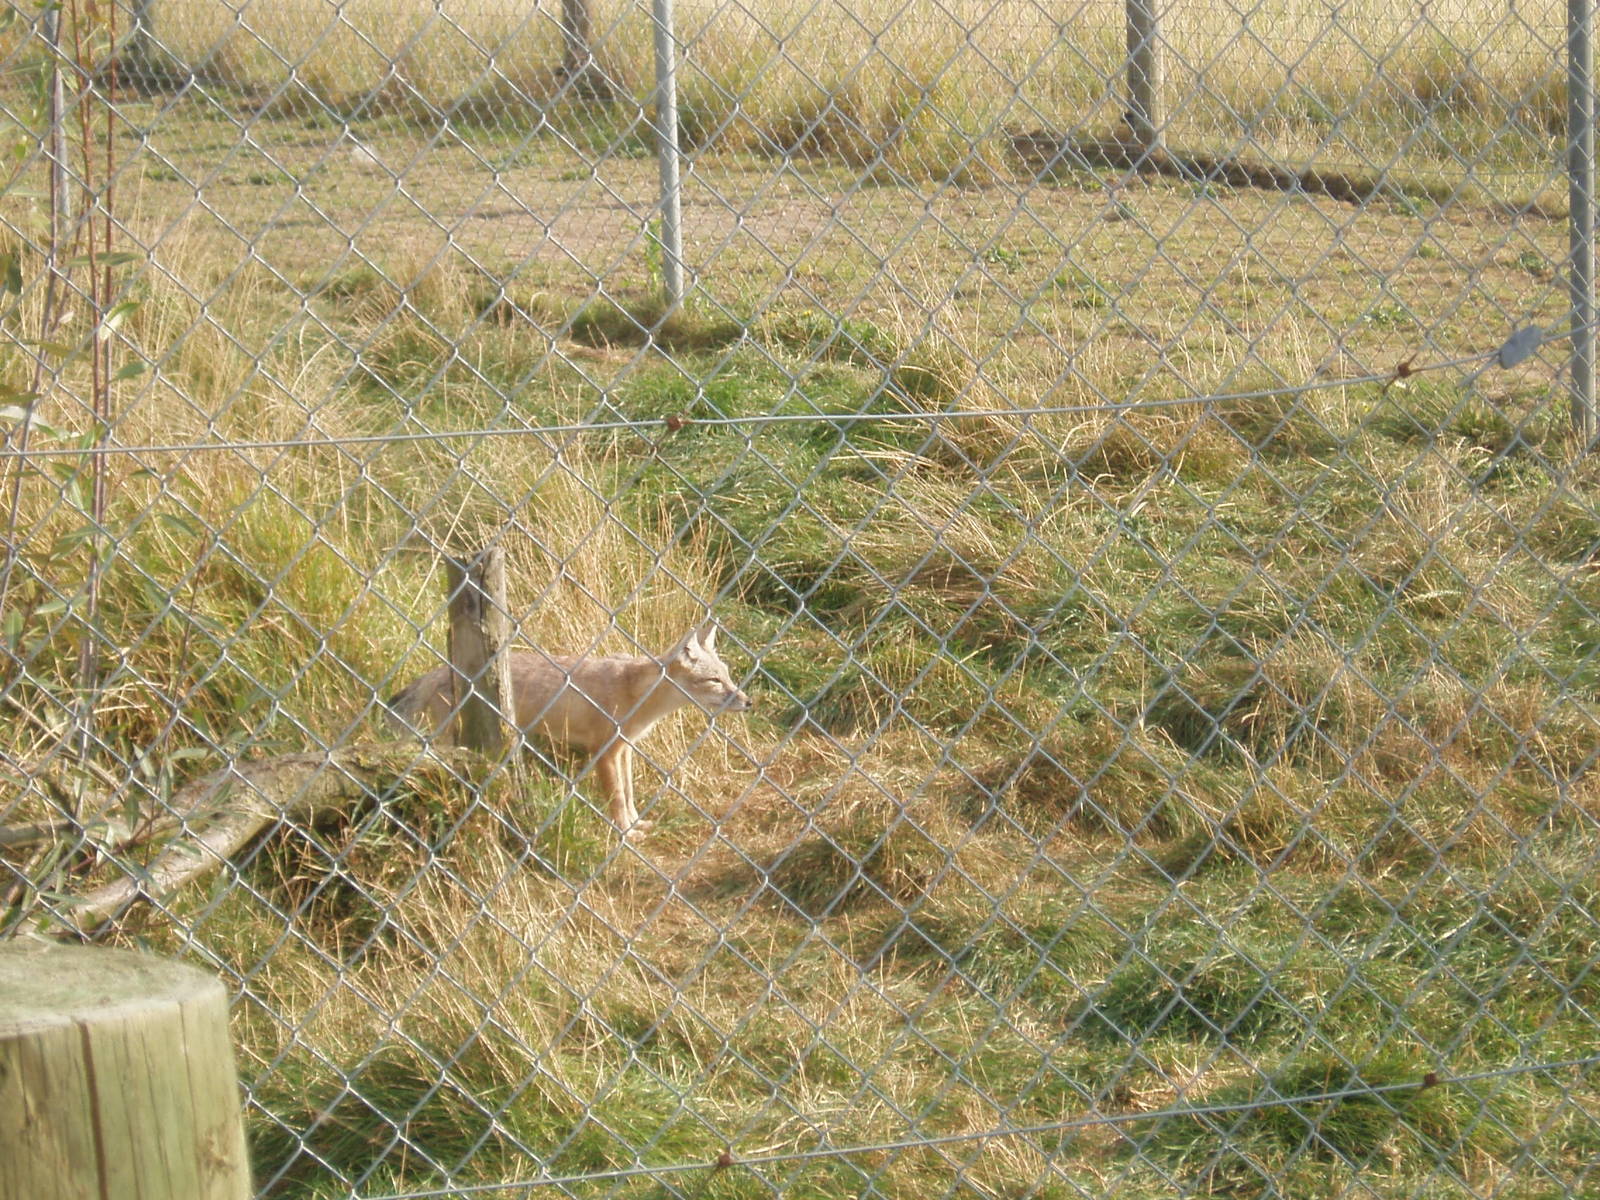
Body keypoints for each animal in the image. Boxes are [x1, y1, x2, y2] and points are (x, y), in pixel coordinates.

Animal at [387, 622, 753, 837]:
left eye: (727, 676)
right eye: (714, 681)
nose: (748, 702)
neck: (635, 692)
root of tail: (437, 672)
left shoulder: (625, 749)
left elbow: (629, 793)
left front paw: (636, 823)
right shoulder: (603, 753)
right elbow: (617, 797)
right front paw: (625, 834)